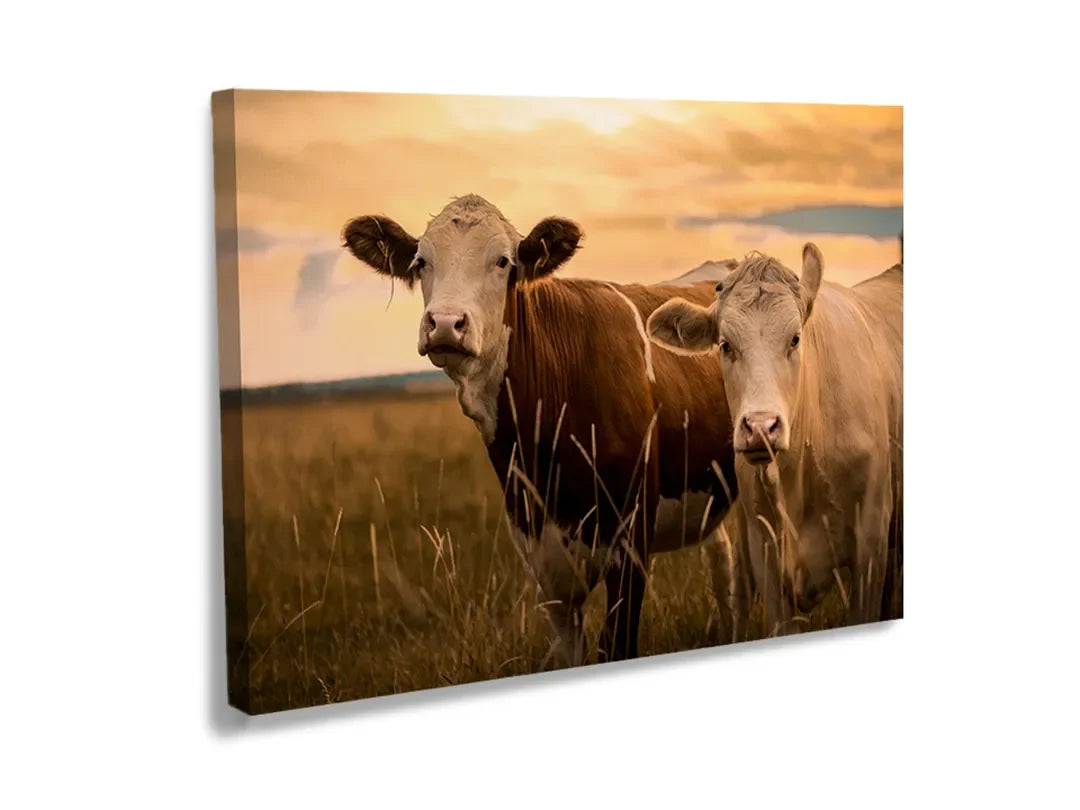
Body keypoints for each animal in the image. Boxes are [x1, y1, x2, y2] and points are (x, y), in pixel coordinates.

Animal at [342, 194, 739, 663]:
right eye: (421, 262)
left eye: (503, 261)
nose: (444, 323)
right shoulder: (542, 560)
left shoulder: (632, 544)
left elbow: (617, 645)